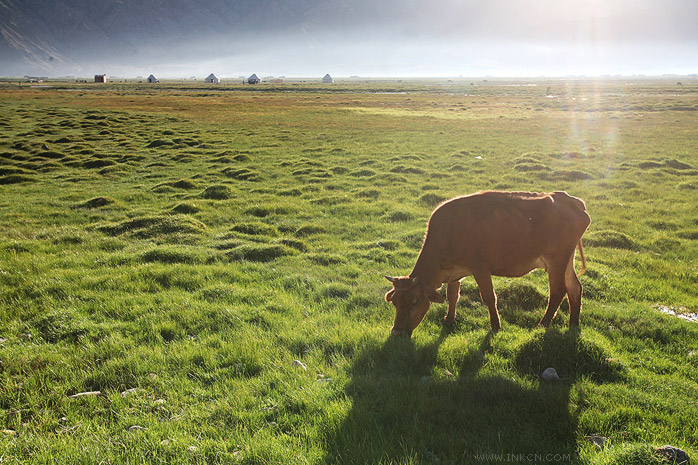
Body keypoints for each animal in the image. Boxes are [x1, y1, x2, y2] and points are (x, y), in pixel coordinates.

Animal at [384, 190, 588, 336]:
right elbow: (453, 296)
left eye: (414, 302)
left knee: (558, 291)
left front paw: (496, 326)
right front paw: (449, 320)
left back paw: (542, 324)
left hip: (557, 260)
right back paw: (573, 324)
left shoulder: (480, 268)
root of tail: (571, 200)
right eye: (394, 302)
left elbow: (489, 297)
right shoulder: (454, 273)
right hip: (566, 261)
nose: (396, 333)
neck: (448, 232)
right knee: (575, 287)